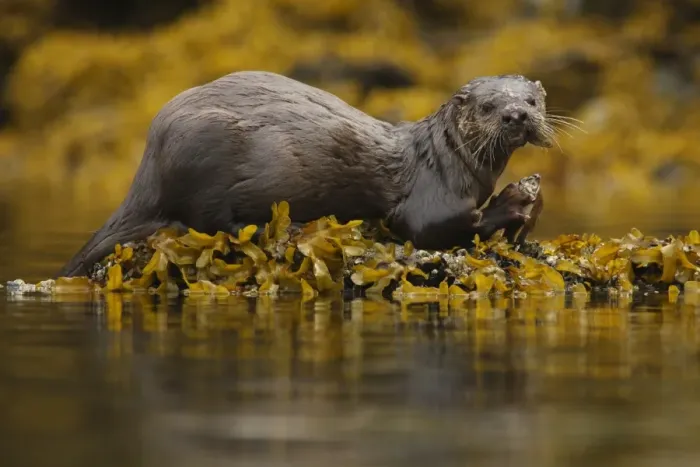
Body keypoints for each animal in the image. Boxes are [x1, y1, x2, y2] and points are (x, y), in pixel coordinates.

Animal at [58, 71, 554, 277]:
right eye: (488, 106)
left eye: (531, 101)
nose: (515, 115)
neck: (452, 159)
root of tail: (151, 161)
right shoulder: (428, 201)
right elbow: (434, 228)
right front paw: (515, 201)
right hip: (202, 149)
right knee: (209, 221)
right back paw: (288, 226)